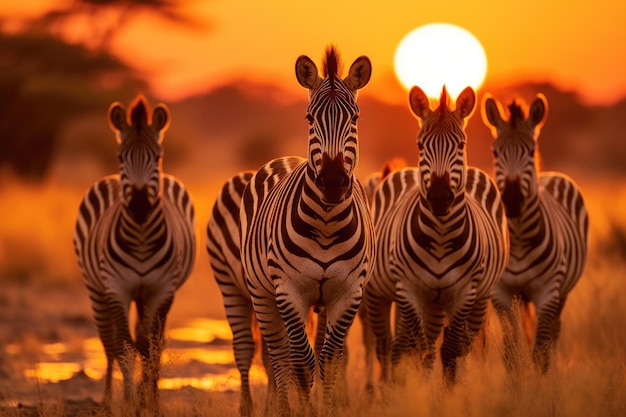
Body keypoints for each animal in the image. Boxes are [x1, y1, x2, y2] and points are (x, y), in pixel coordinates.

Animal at [73, 95, 195, 412]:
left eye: (157, 157)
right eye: (120, 157)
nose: (140, 207)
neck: (141, 238)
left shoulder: (162, 290)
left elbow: (152, 346)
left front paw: (148, 401)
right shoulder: (117, 288)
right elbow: (125, 347)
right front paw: (131, 401)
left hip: (145, 294)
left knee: (146, 341)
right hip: (96, 289)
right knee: (109, 343)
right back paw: (105, 401)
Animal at [240, 46, 376, 416]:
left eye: (355, 118)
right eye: (310, 119)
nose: (332, 182)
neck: (327, 223)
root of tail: (285, 158)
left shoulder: (349, 292)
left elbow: (329, 358)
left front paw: (326, 408)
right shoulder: (288, 290)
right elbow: (300, 359)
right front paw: (302, 409)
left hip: (324, 301)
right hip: (262, 293)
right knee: (279, 353)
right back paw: (284, 405)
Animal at [360, 85, 508, 386]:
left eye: (461, 145)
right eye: (420, 145)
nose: (439, 198)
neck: (440, 237)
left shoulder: (465, 292)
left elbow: (450, 350)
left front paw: (445, 392)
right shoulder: (408, 289)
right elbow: (417, 348)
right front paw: (415, 390)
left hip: (472, 300)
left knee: (459, 344)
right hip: (379, 293)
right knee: (386, 346)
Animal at [480, 93, 588, 370]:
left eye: (530, 151)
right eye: (495, 152)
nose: (511, 199)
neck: (518, 237)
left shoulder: (548, 292)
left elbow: (540, 352)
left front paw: (541, 382)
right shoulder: (502, 293)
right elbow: (512, 351)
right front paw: (516, 382)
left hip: (562, 293)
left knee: (552, 337)